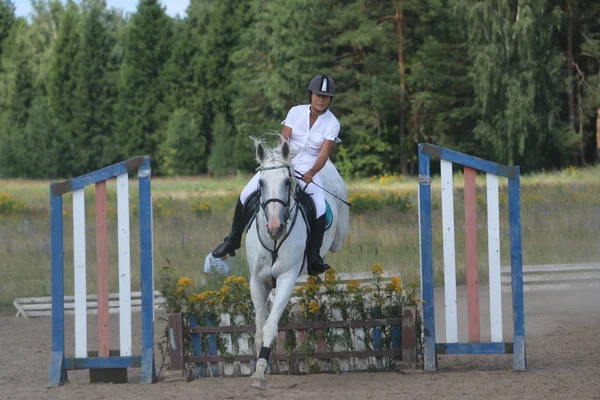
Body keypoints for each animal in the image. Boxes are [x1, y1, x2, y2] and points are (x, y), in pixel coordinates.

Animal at [246, 137, 350, 388]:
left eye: (287, 181)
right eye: (261, 183)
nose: (275, 227)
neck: (273, 240)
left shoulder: (286, 279)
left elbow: (270, 326)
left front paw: (260, 373)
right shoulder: (257, 282)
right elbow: (259, 329)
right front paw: (259, 369)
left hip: (339, 235)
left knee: (336, 242)